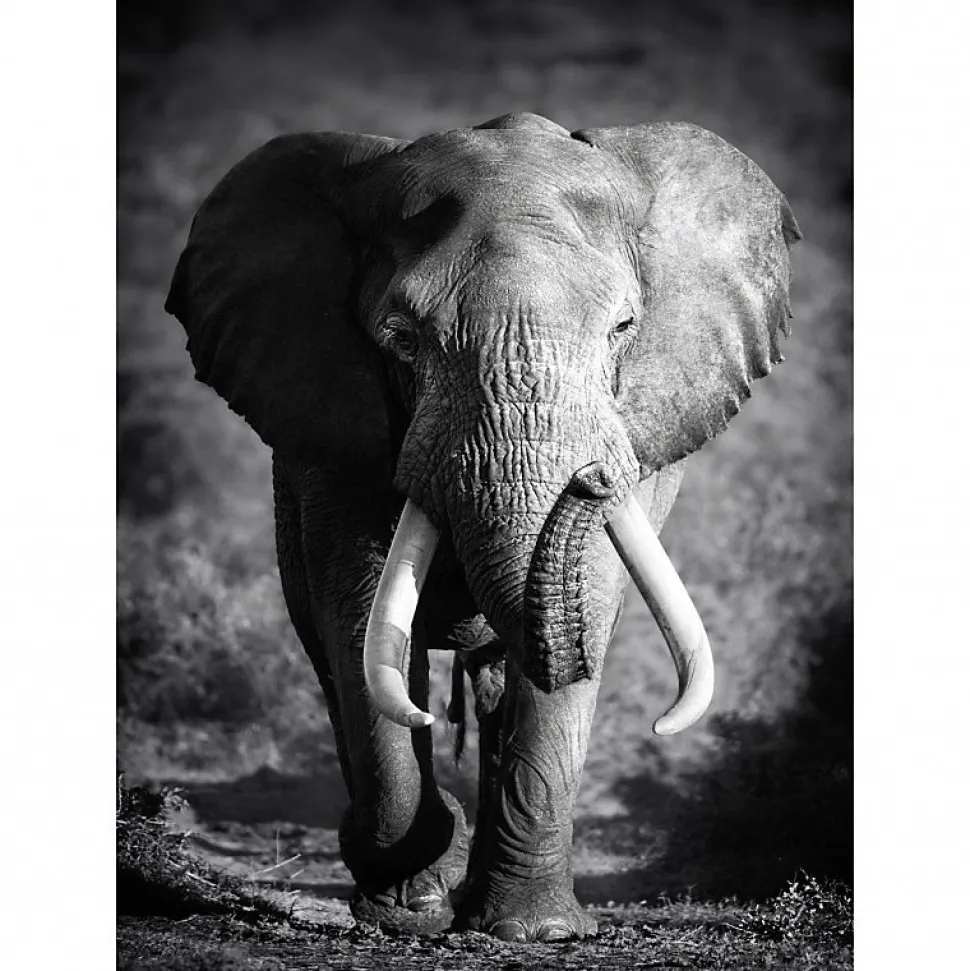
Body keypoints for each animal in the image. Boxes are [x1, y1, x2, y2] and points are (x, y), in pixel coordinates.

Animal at [165, 111, 800, 942]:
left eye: (623, 328)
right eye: (402, 337)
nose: (593, 478)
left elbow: (587, 601)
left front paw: (536, 931)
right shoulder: (331, 431)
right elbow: (360, 616)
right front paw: (407, 912)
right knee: (332, 651)